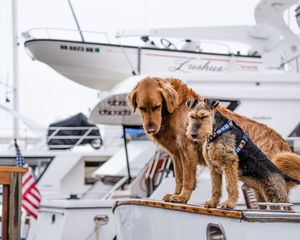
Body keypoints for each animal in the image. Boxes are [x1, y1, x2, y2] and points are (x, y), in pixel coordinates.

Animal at [127, 77, 300, 202]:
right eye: (142, 108)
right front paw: (175, 194)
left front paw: (182, 197)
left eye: (156, 106)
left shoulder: (188, 149)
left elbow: (187, 178)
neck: (175, 108)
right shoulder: (176, 154)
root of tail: (283, 143)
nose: (150, 129)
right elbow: (179, 177)